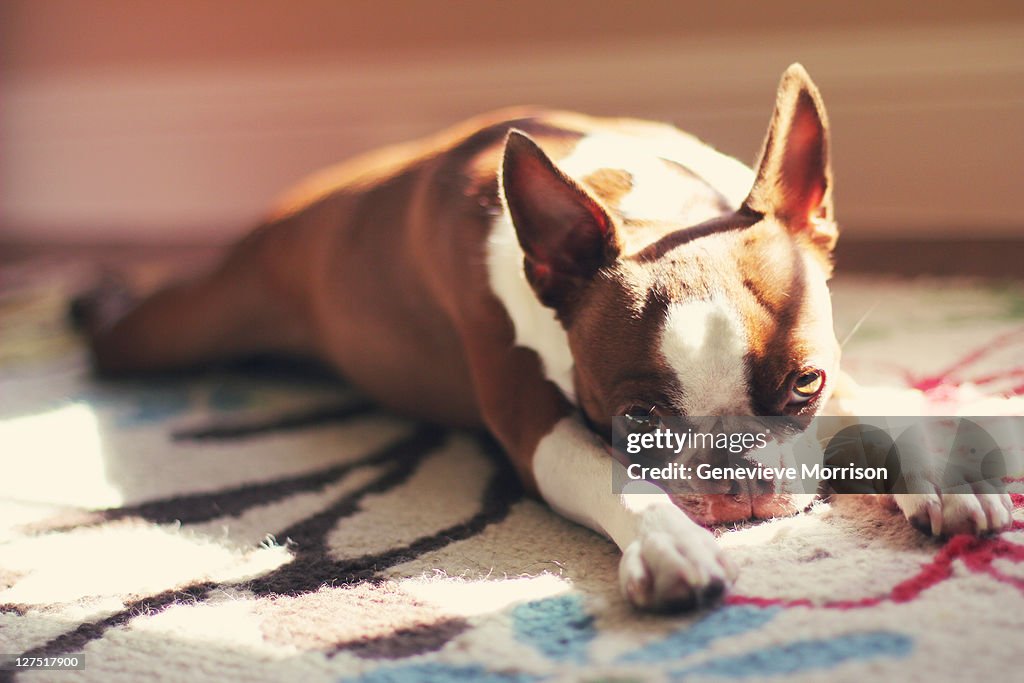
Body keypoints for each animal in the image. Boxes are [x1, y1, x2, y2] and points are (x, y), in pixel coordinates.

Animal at [77, 63, 1007, 610]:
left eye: (803, 384)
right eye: (637, 417)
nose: (735, 474)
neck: (649, 202)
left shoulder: (833, 371)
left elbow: (882, 413)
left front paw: (947, 475)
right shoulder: (536, 429)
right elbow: (611, 480)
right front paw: (669, 541)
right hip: (180, 327)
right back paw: (94, 297)